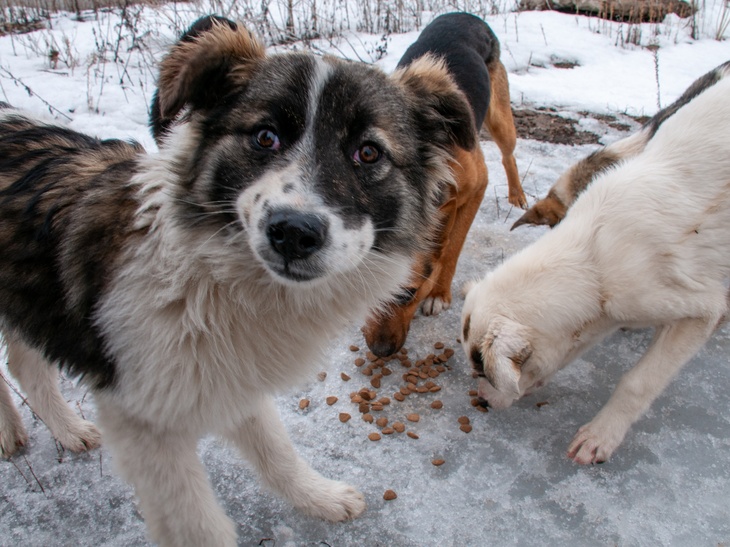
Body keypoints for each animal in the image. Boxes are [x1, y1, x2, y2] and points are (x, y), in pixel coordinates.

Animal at [0, 17, 472, 547]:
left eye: (368, 152)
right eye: (265, 137)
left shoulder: (231, 371)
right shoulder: (144, 422)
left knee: (24, 364)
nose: (293, 233)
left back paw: (64, 430)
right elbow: (198, 525)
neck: (206, 281)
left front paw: (320, 497)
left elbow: (275, 449)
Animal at [362, 12, 524, 358]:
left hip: (501, 119)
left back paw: (517, 196)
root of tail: (464, 16)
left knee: (508, 155)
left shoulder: (475, 189)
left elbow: (452, 247)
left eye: (407, 295)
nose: (380, 351)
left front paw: (438, 293)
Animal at [460, 75, 728, 464]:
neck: (591, 256)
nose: (481, 398)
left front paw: (600, 436)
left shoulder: (697, 308)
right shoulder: (604, 315)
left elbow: (639, 381)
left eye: (484, 369)